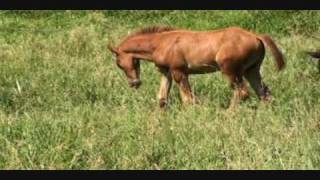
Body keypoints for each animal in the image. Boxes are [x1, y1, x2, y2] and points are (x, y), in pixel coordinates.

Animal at [108, 25, 284, 109]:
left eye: (119, 64)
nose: (134, 83)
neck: (160, 43)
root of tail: (256, 36)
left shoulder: (179, 72)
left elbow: (188, 100)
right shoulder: (166, 72)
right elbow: (162, 99)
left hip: (230, 70)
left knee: (242, 93)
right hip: (251, 70)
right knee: (264, 94)